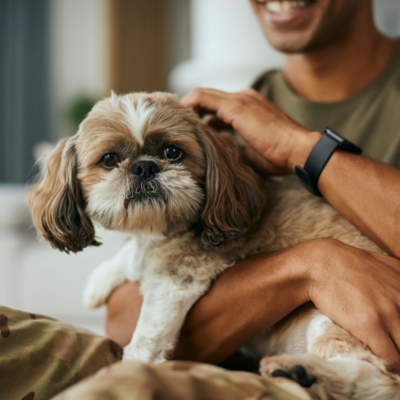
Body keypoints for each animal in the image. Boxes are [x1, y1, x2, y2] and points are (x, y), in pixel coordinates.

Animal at [28, 92, 400, 398]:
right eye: (108, 159)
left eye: (173, 152)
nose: (145, 166)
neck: (161, 230)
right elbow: (131, 257)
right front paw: (99, 282)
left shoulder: (177, 278)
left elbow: (146, 336)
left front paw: (130, 366)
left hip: (337, 316)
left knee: (380, 379)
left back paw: (303, 371)